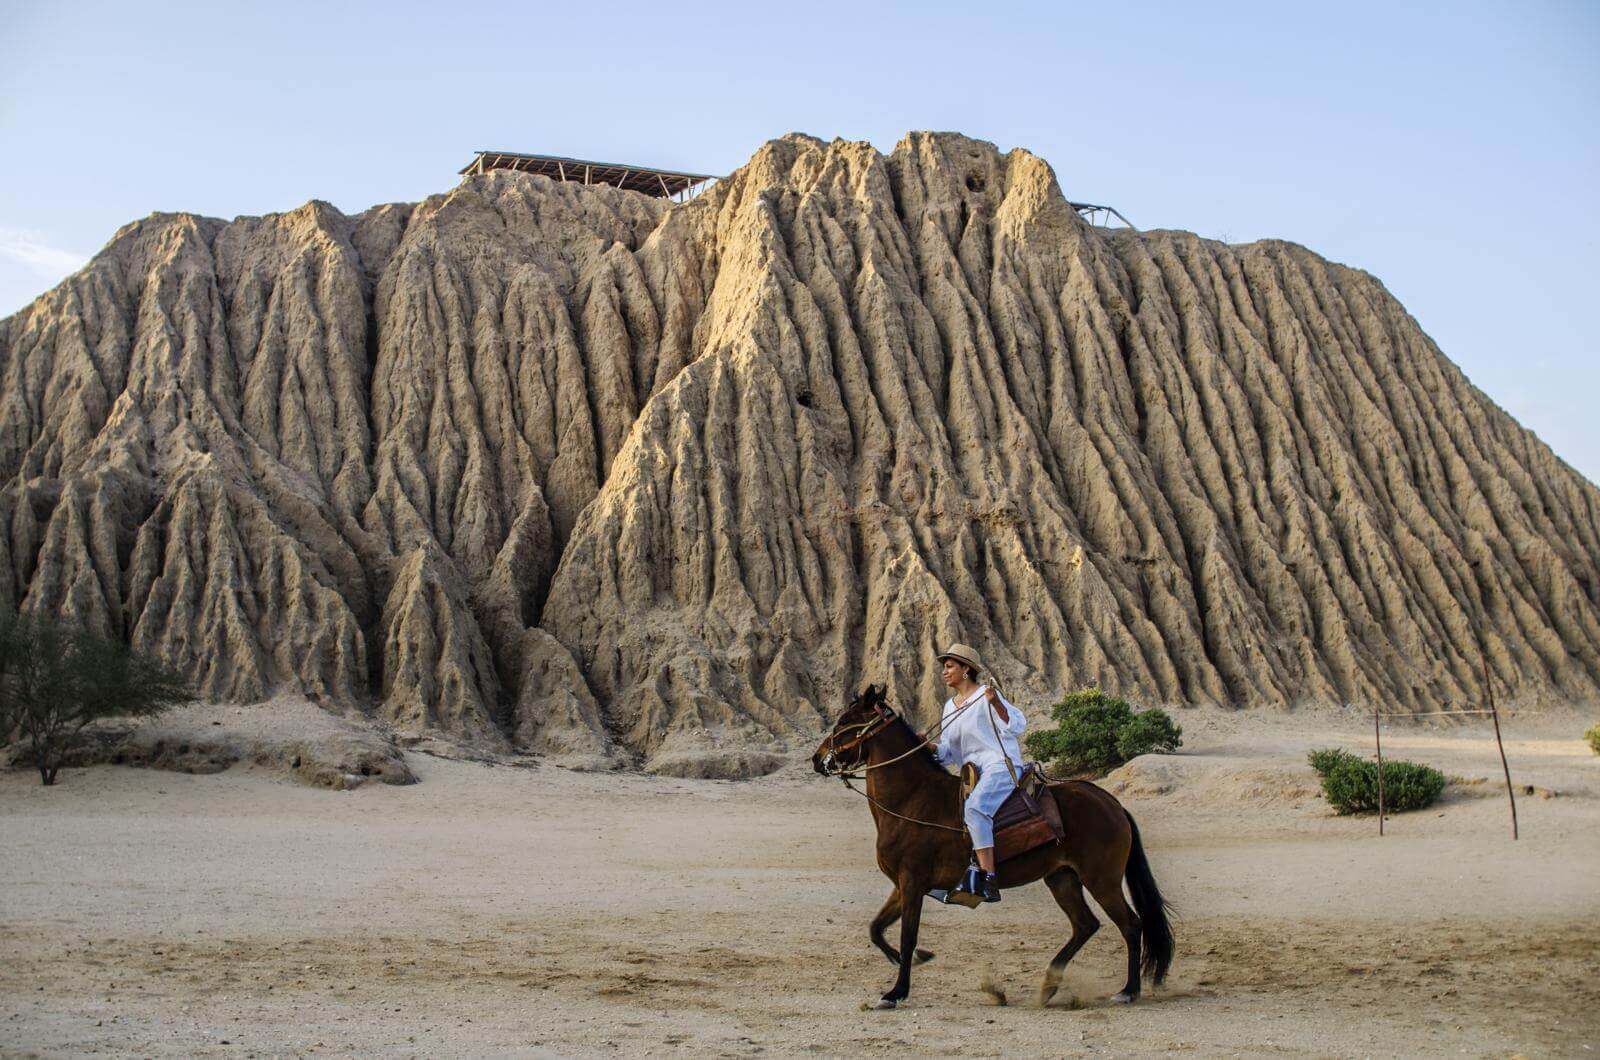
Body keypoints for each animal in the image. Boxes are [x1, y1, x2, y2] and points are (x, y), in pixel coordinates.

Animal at [812, 688, 1177, 1011]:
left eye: (845, 721)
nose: (817, 759)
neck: (912, 800)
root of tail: (1112, 804)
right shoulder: (902, 886)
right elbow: (876, 929)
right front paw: (916, 959)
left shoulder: (912, 882)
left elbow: (906, 935)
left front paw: (896, 992)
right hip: (1062, 878)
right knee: (1085, 925)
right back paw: (1049, 985)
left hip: (1101, 880)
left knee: (1130, 925)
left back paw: (1128, 991)